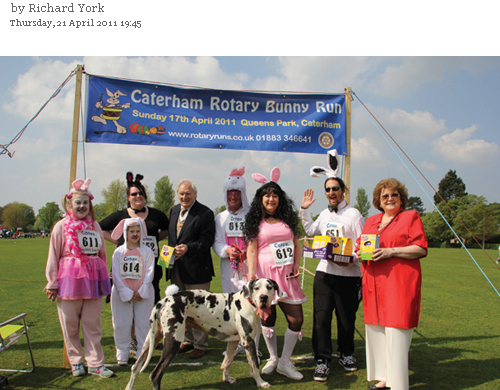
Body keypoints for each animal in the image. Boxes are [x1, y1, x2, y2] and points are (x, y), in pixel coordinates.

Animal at [125, 278, 282, 388]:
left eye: (269, 287)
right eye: (256, 288)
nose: (263, 298)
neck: (246, 302)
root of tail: (165, 300)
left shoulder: (233, 341)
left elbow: (227, 361)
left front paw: (227, 378)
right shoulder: (248, 342)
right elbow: (254, 365)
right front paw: (261, 383)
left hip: (150, 341)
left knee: (135, 368)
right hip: (173, 341)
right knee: (155, 375)